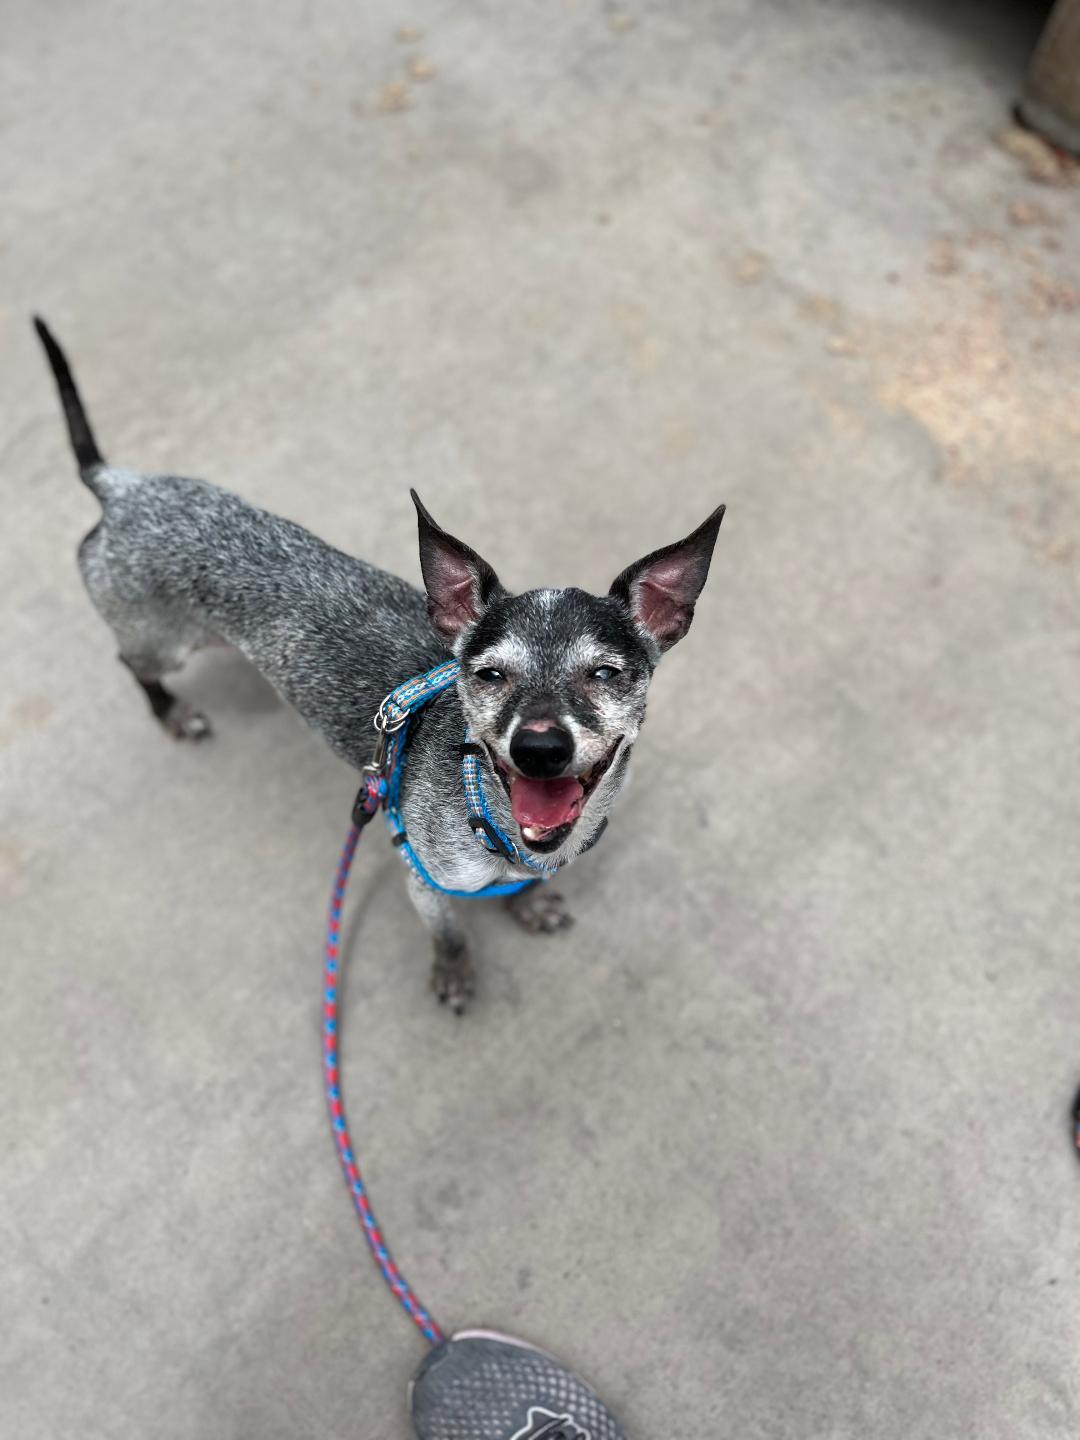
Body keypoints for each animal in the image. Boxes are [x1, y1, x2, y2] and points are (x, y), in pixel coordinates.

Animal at [33, 315, 728, 1013]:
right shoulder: (423, 879)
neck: (499, 824)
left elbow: (524, 888)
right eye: (489, 675)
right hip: (162, 642)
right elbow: (450, 933)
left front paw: (529, 905)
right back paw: (171, 712)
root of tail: (121, 488)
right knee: (132, 661)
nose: (538, 747)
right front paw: (454, 972)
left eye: (605, 674)